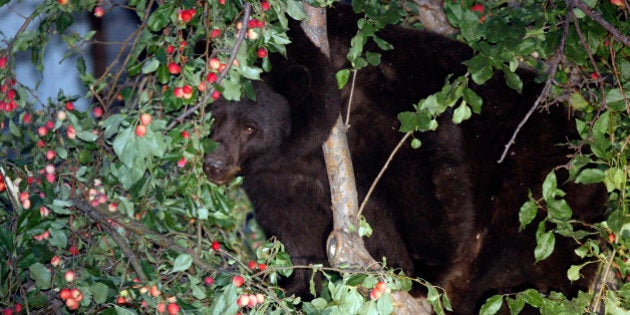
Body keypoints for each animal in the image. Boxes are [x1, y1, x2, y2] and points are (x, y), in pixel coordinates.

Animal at [204, 3, 608, 314]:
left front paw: (422, 273)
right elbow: (294, 226)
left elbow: (430, 186)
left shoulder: (388, 114)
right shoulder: (278, 176)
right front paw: (298, 285)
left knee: (533, 263)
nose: (214, 165)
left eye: (250, 127)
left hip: (544, 191)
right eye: (214, 116)